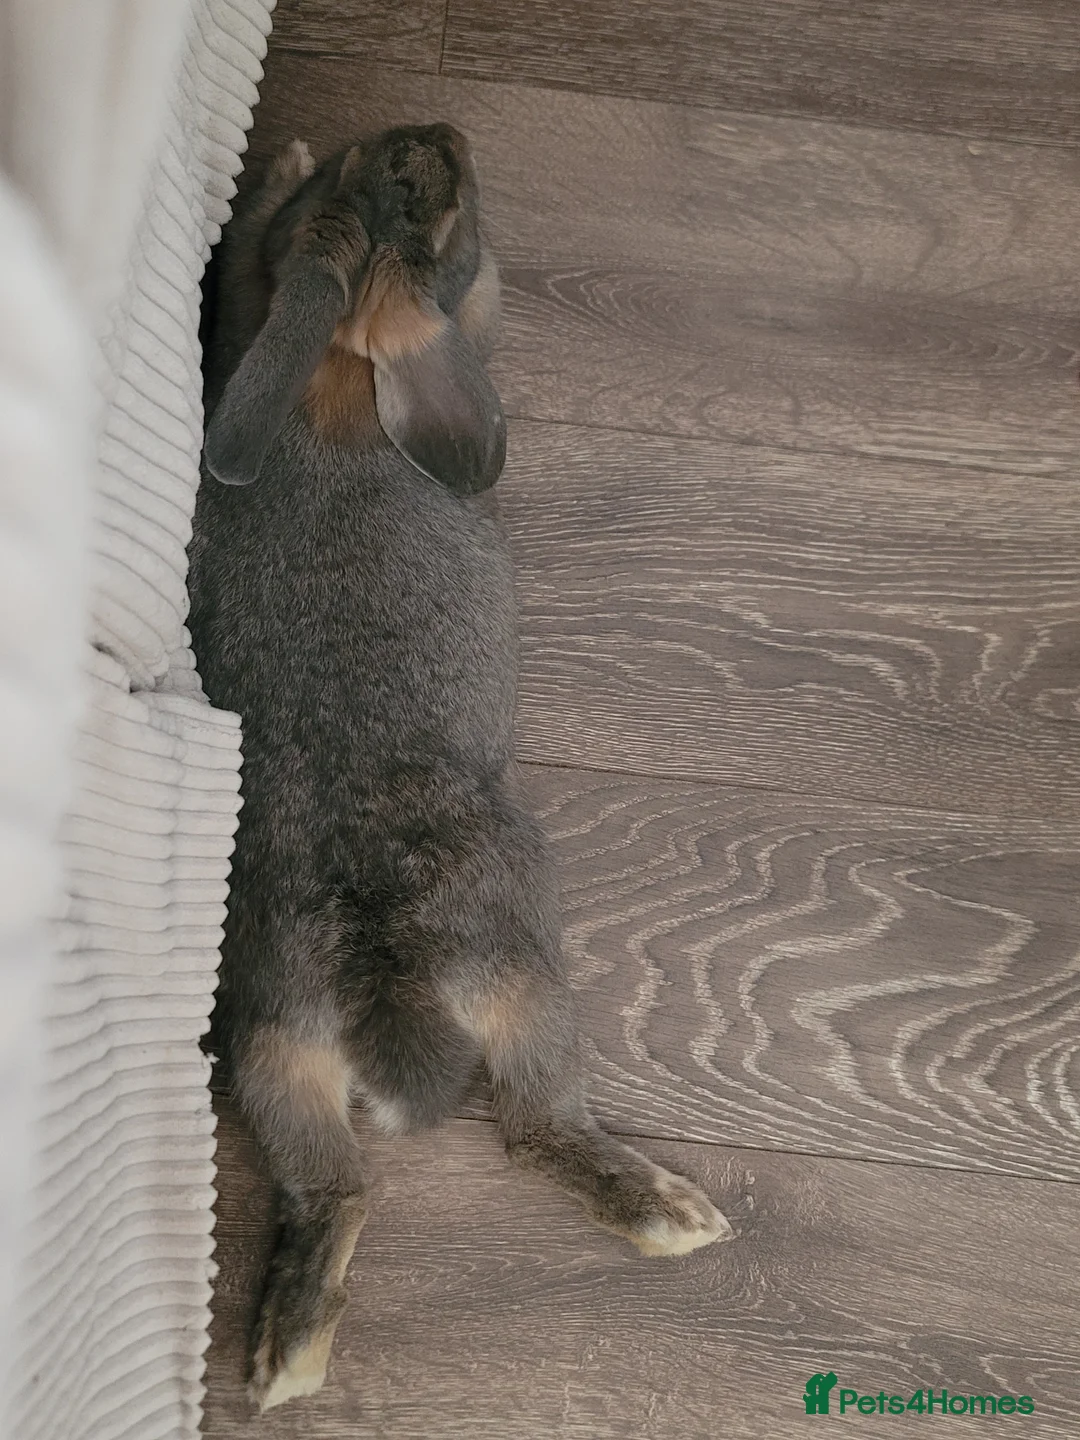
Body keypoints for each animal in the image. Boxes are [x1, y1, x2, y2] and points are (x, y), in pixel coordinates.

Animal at [188, 125, 733, 1413]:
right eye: (448, 221)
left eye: (389, 184)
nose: (439, 135)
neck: (339, 366)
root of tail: (386, 987)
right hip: (522, 972)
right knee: (532, 1126)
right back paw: (670, 1216)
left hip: (267, 1038)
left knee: (331, 1182)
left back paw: (284, 1352)